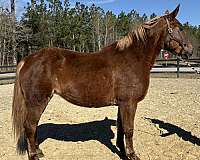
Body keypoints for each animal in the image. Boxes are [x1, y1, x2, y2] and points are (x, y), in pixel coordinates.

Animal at [12, 5, 192, 160]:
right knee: (29, 126)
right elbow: (129, 129)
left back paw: (39, 151)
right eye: (180, 28)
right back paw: (34, 155)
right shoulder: (129, 103)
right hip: (37, 101)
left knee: (33, 126)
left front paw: (122, 151)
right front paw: (132, 155)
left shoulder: (122, 104)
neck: (133, 58)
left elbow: (121, 129)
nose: (190, 50)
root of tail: (27, 59)